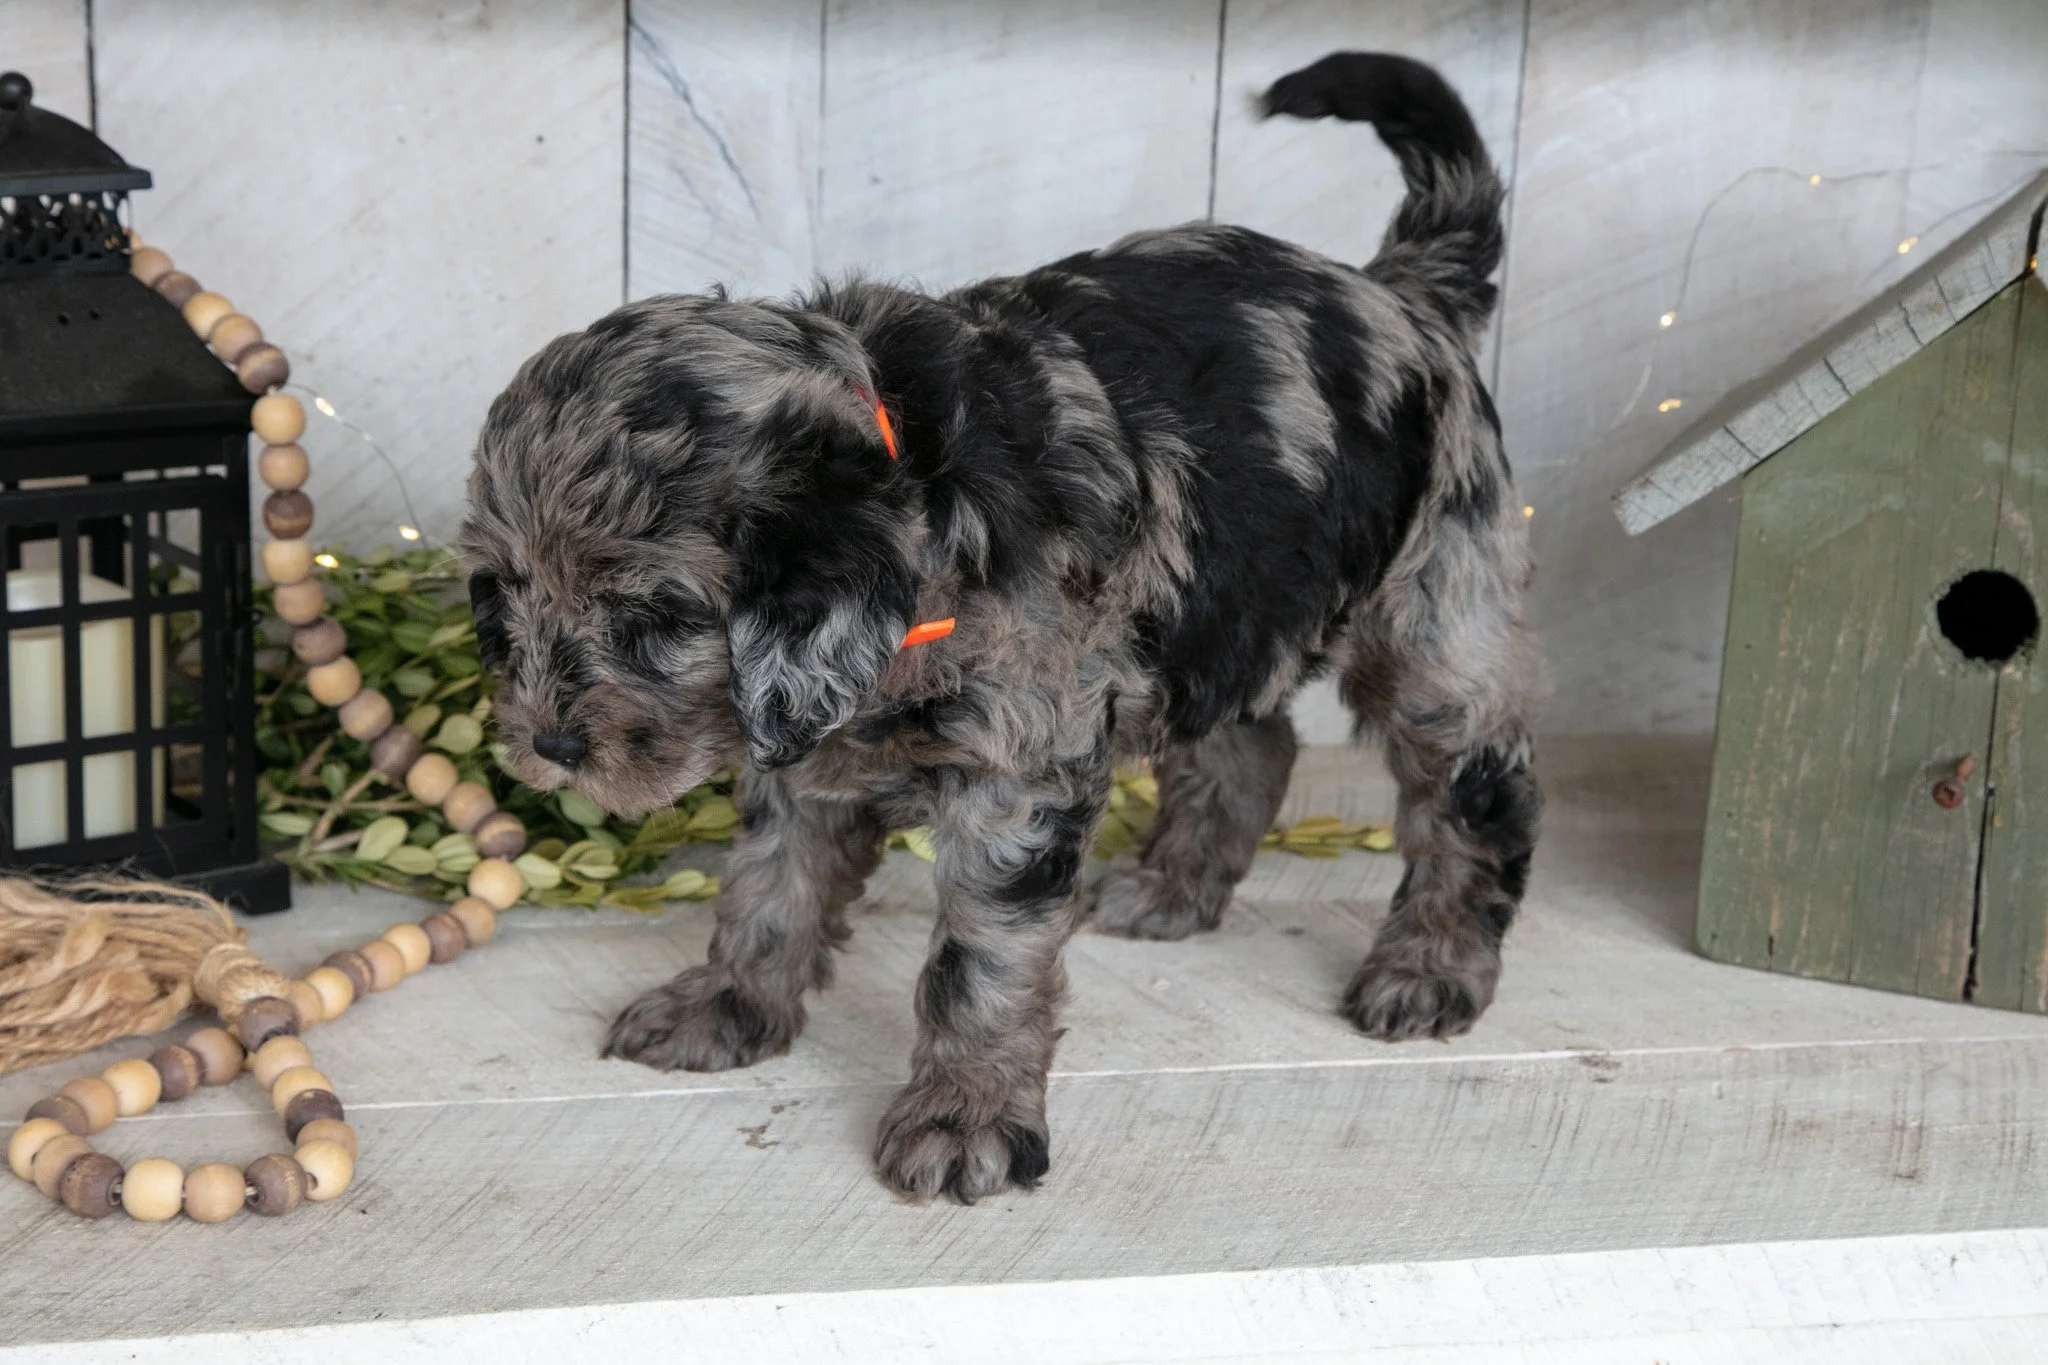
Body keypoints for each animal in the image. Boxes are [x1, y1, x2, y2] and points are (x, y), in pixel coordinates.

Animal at [459, 52, 1541, 1203]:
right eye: (503, 592)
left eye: (654, 613)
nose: (549, 745)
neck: (919, 501)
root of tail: (1402, 288)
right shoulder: (802, 764)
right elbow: (767, 889)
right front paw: (727, 1006)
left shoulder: (1015, 775)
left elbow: (978, 961)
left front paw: (963, 1118)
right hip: (1227, 604)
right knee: (1252, 739)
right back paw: (1171, 888)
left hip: (1440, 603)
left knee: (1473, 798)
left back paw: (1428, 968)